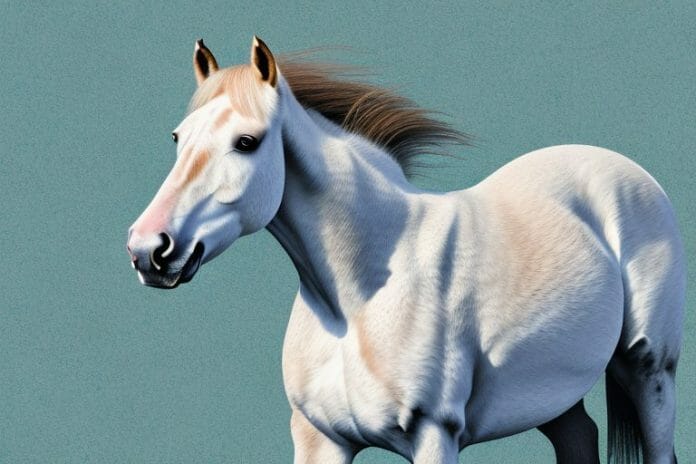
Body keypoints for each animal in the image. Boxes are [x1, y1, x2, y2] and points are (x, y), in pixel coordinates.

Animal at [126, 37, 685, 464]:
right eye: (178, 137)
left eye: (247, 141)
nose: (148, 249)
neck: (358, 300)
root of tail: (628, 170)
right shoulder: (318, 439)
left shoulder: (434, 435)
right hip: (552, 393)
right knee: (579, 436)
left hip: (649, 369)